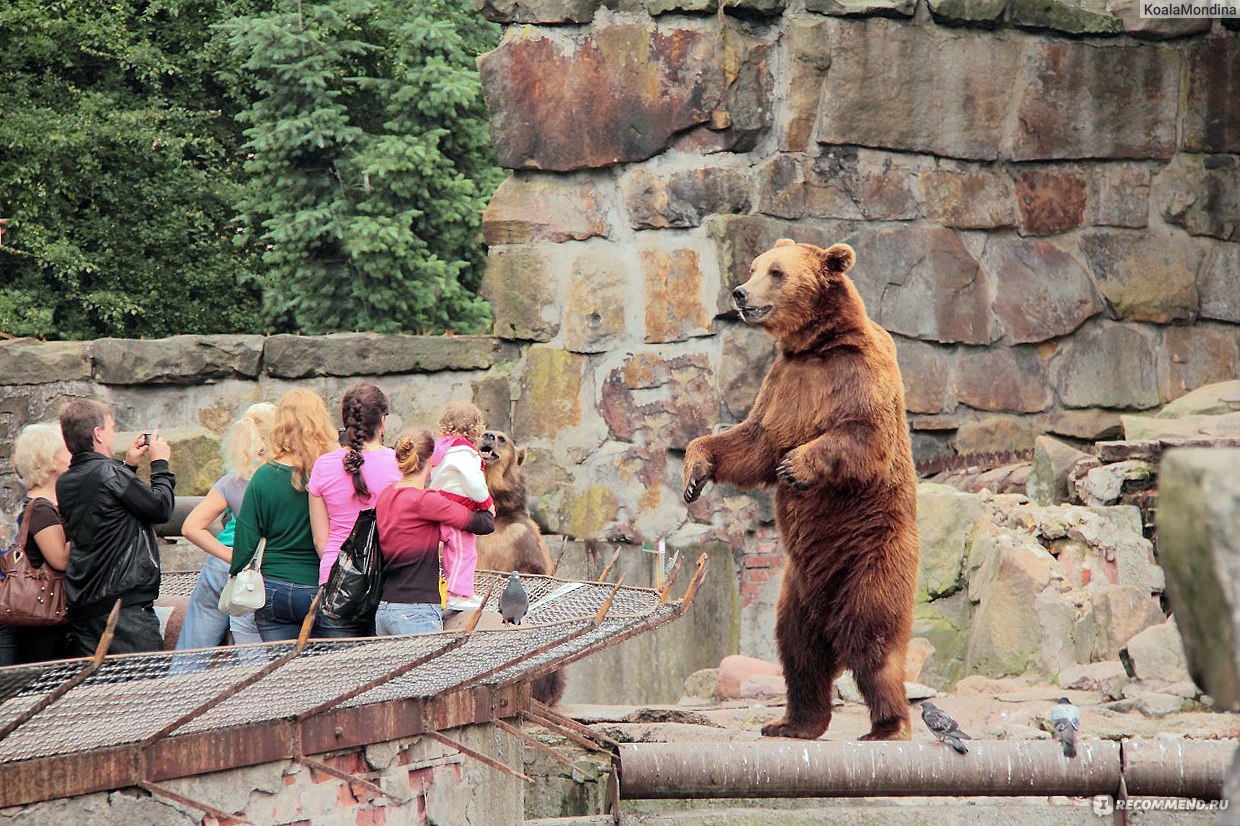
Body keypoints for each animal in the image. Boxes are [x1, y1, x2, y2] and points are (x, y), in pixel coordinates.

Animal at [689, 236, 922, 739]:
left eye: (776, 272)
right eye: (754, 266)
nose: (739, 292)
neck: (815, 346)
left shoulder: (857, 373)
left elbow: (863, 436)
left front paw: (794, 466)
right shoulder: (784, 383)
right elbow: (751, 442)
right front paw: (695, 472)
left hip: (870, 559)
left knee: (871, 641)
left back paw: (888, 725)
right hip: (796, 587)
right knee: (800, 651)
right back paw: (792, 723)